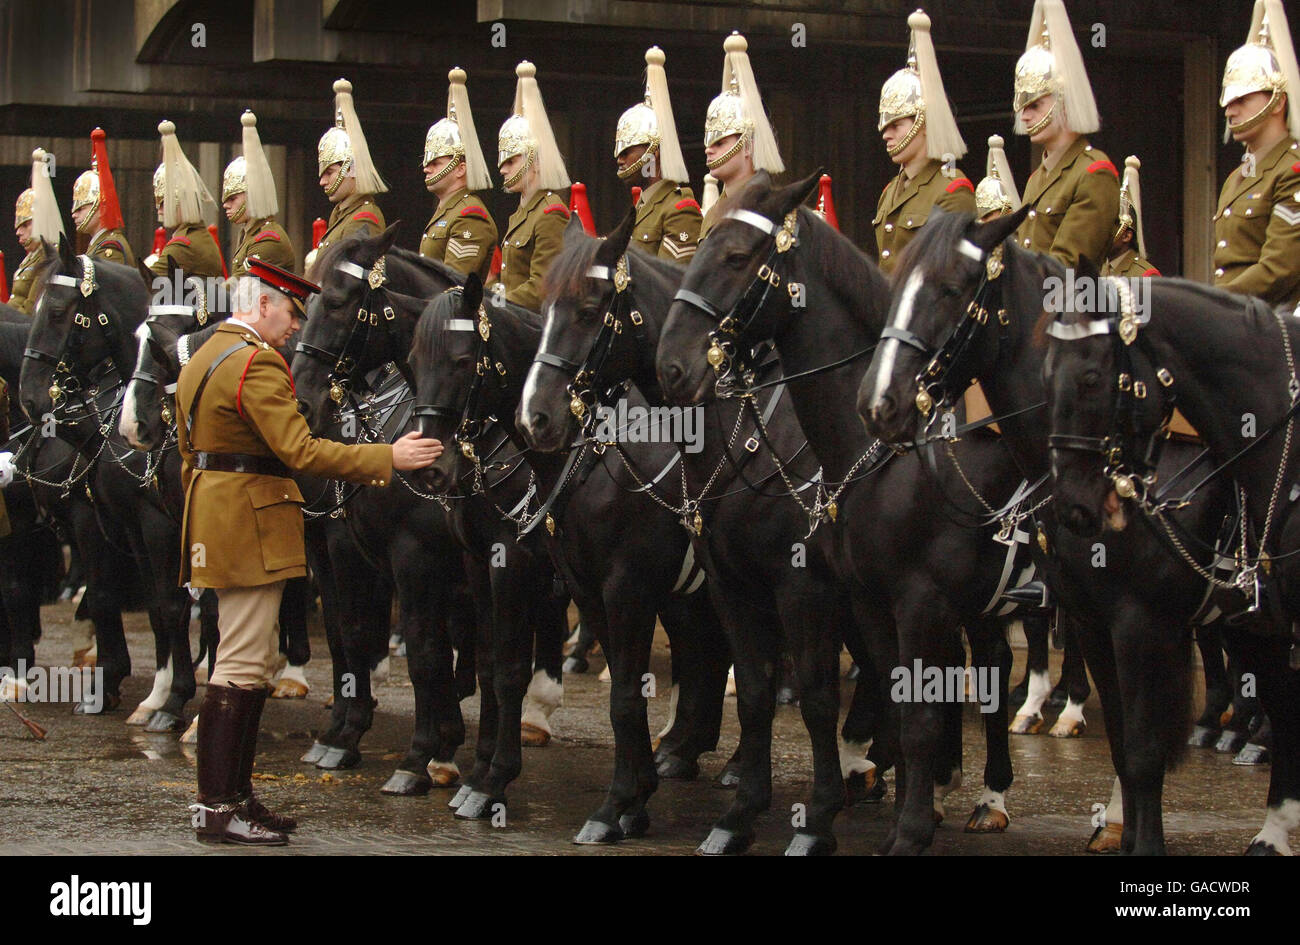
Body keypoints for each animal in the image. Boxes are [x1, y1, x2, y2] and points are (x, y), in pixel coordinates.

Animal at [410, 271, 733, 842]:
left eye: (460, 359)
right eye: (413, 360)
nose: (429, 466)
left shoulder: (568, 577)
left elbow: (519, 673)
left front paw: (496, 780)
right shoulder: (524, 574)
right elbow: (495, 666)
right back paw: (681, 752)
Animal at [517, 214, 894, 857]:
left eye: (590, 309)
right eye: (542, 311)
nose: (536, 417)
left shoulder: (783, 587)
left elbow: (805, 695)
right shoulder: (640, 587)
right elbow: (655, 691)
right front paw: (636, 800)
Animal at [655, 170, 1050, 857]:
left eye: (736, 257)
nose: (671, 366)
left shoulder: (862, 593)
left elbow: (867, 704)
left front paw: (850, 821)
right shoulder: (847, 596)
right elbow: (775, 691)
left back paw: (991, 794)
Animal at [1045, 272, 1300, 857]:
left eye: (1092, 376)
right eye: (1046, 373)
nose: (1074, 505)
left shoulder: (1142, 623)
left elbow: (1144, 748)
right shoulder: (1098, 622)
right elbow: (1127, 743)